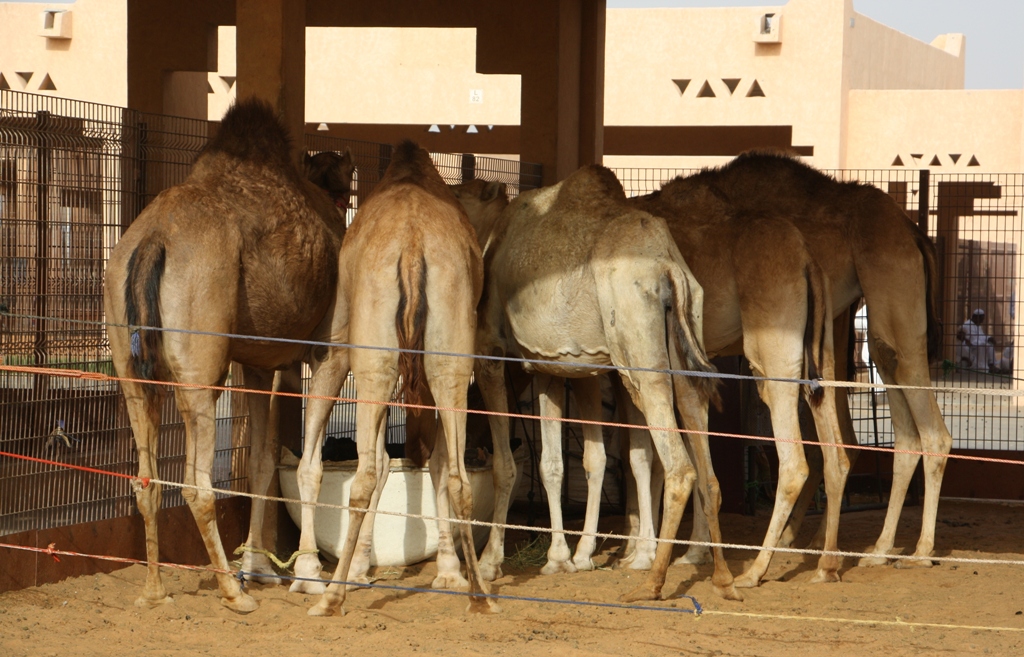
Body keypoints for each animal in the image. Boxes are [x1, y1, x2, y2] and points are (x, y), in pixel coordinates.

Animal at [102, 97, 352, 609]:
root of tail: (153, 239)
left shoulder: (255, 361)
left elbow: (260, 462)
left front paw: (259, 567)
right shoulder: (329, 349)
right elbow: (309, 468)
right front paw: (307, 575)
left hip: (128, 358)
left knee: (146, 480)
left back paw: (154, 591)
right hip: (201, 363)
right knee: (197, 485)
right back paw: (233, 593)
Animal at [288, 141, 495, 618]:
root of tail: (413, 247)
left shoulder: (341, 346)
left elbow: (370, 464)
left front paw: (351, 569)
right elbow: (425, 462)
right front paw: (448, 571)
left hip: (374, 359)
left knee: (359, 474)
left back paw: (328, 595)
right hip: (447, 358)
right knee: (456, 474)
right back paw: (480, 596)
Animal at [460, 164, 741, 605]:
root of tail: (668, 269)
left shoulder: (490, 350)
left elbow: (506, 464)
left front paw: (491, 563)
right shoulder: (550, 366)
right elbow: (553, 464)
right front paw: (560, 559)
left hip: (636, 348)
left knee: (679, 467)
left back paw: (651, 582)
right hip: (686, 334)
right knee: (705, 463)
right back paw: (724, 579)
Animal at [643, 148, 946, 573]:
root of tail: (913, 232)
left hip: (889, 301)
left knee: (931, 433)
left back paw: (917, 551)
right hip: (868, 325)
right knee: (896, 430)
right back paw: (871, 549)